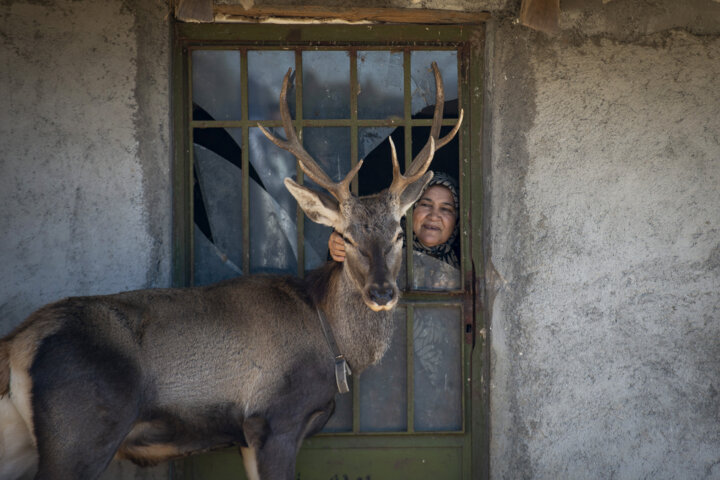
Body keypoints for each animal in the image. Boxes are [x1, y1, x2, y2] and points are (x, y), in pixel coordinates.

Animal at [0, 62, 462, 480]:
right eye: (346, 237)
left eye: (399, 235)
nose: (382, 293)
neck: (330, 341)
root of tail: (19, 345)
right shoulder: (274, 420)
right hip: (82, 431)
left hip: (22, 438)